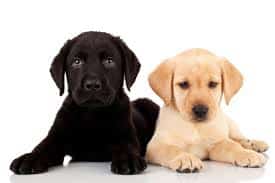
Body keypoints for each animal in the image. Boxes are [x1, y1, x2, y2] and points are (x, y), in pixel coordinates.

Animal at [9, 31, 160, 174]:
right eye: (77, 62)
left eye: (109, 61)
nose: (92, 84)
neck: (91, 114)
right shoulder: (56, 136)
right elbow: (43, 147)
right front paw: (30, 158)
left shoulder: (125, 134)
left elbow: (127, 146)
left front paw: (128, 159)